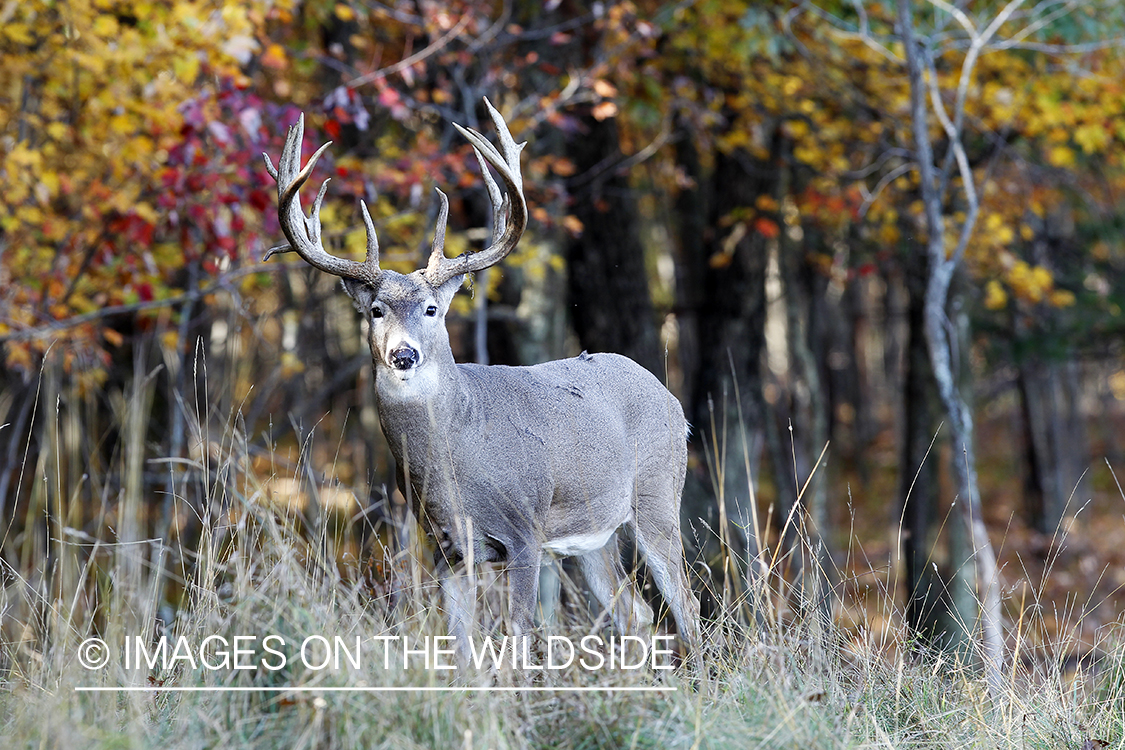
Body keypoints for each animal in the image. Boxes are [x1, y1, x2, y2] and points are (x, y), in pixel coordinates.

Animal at [266, 98, 697, 661]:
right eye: (376, 311)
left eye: (432, 309)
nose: (403, 354)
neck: (457, 456)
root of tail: (673, 402)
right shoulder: (448, 549)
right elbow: (460, 644)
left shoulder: (525, 529)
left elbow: (519, 631)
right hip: (593, 533)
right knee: (635, 611)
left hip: (657, 491)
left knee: (685, 602)